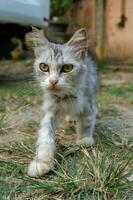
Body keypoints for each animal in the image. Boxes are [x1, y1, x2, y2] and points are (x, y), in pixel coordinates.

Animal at [27, 26, 98, 177]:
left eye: (67, 68)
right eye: (44, 67)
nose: (53, 81)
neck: (66, 97)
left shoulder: (88, 103)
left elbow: (87, 121)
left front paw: (84, 139)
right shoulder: (50, 111)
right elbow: (46, 135)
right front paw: (42, 162)